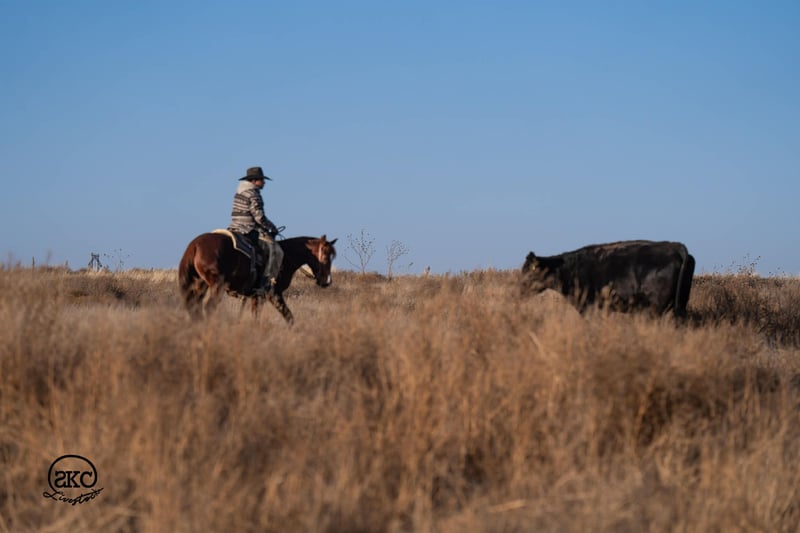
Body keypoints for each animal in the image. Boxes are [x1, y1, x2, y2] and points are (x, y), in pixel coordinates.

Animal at [178, 233, 337, 324]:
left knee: (195, 308)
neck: (286, 256)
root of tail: (195, 245)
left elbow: (256, 317)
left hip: (200, 285)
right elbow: (289, 317)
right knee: (209, 307)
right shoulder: (273, 294)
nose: (327, 281)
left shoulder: (256, 296)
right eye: (324, 255)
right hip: (217, 286)